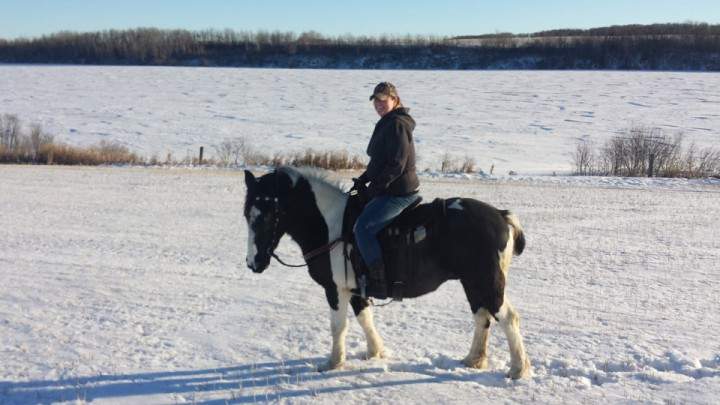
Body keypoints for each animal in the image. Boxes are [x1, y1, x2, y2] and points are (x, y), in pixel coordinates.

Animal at [243, 166, 531, 379]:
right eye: (247, 214)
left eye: (267, 214)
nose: (253, 262)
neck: (331, 226)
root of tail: (501, 215)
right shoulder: (356, 289)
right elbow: (365, 319)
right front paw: (375, 353)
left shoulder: (335, 290)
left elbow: (338, 326)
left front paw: (333, 363)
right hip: (472, 283)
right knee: (482, 316)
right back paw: (473, 360)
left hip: (486, 281)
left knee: (508, 318)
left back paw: (518, 370)